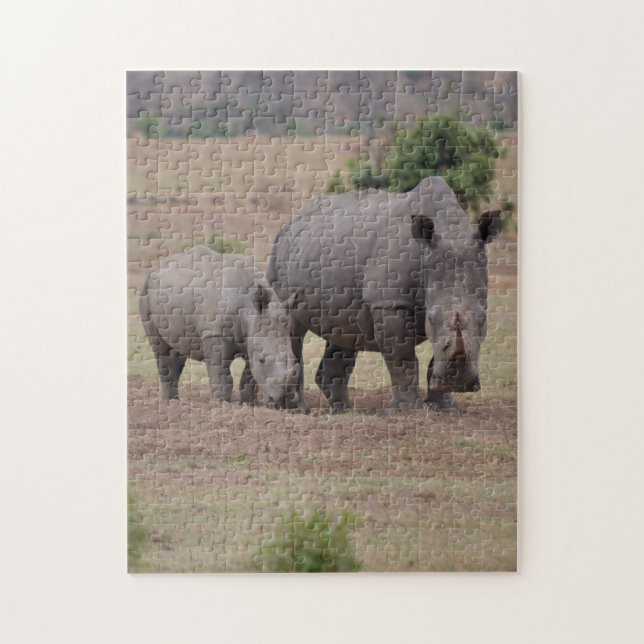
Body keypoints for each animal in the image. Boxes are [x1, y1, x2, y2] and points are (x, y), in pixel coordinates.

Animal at [139, 246, 300, 408]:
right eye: (262, 360)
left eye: (294, 360)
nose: (285, 401)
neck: (250, 310)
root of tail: (157, 268)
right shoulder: (214, 333)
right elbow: (222, 375)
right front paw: (221, 404)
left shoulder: (251, 336)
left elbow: (249, 376)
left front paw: (249, 405)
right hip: (145, 293)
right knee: (161, 349)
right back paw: (170, 403)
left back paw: (173, 401)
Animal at [266, 176, 502, 411]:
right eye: (431, 320)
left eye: (483, 320)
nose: (461, 384)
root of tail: (292, 223)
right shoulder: (390, 303)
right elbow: (402, 359)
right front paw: (408, 410)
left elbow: (438, 353)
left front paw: (446, 407)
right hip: (278, 259)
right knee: (290, 327)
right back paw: (294, 407)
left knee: (344, 331)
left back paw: (345, 410)